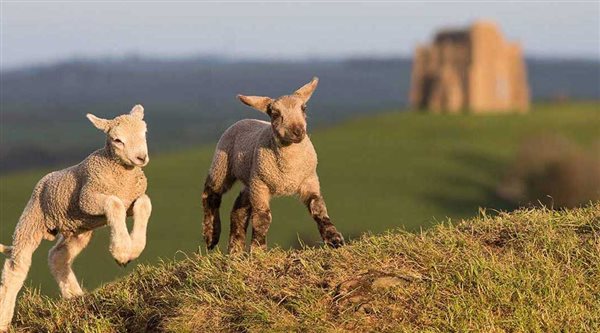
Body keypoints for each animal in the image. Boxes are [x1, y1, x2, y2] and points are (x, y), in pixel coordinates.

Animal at [0, 104, 152, 330]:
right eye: (117, 140)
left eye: (144, 132)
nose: (141, 158)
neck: (121, 176)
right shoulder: (88, 198)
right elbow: (114, 204)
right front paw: (122, 251)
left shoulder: (130, 202)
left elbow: (144, 204)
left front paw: (135, 247)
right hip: (32, 220)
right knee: (15, 269)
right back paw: (4, 320)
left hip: (78, 227)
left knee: (58, 256)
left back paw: (75, 296)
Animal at [202, 77, 342, 252]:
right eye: (275, 114)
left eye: (304, 108)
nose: (298, 131)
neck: (288, 168)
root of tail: (244, 120)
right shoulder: (261, 185)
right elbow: (263, 217)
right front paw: (258, 249)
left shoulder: (309, 180)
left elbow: (318, 207)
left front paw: (334, 239)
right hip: (223, 165)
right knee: (211, 194)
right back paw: (211, 235)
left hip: (250, 180)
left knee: (239, 209)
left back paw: (236, 249)